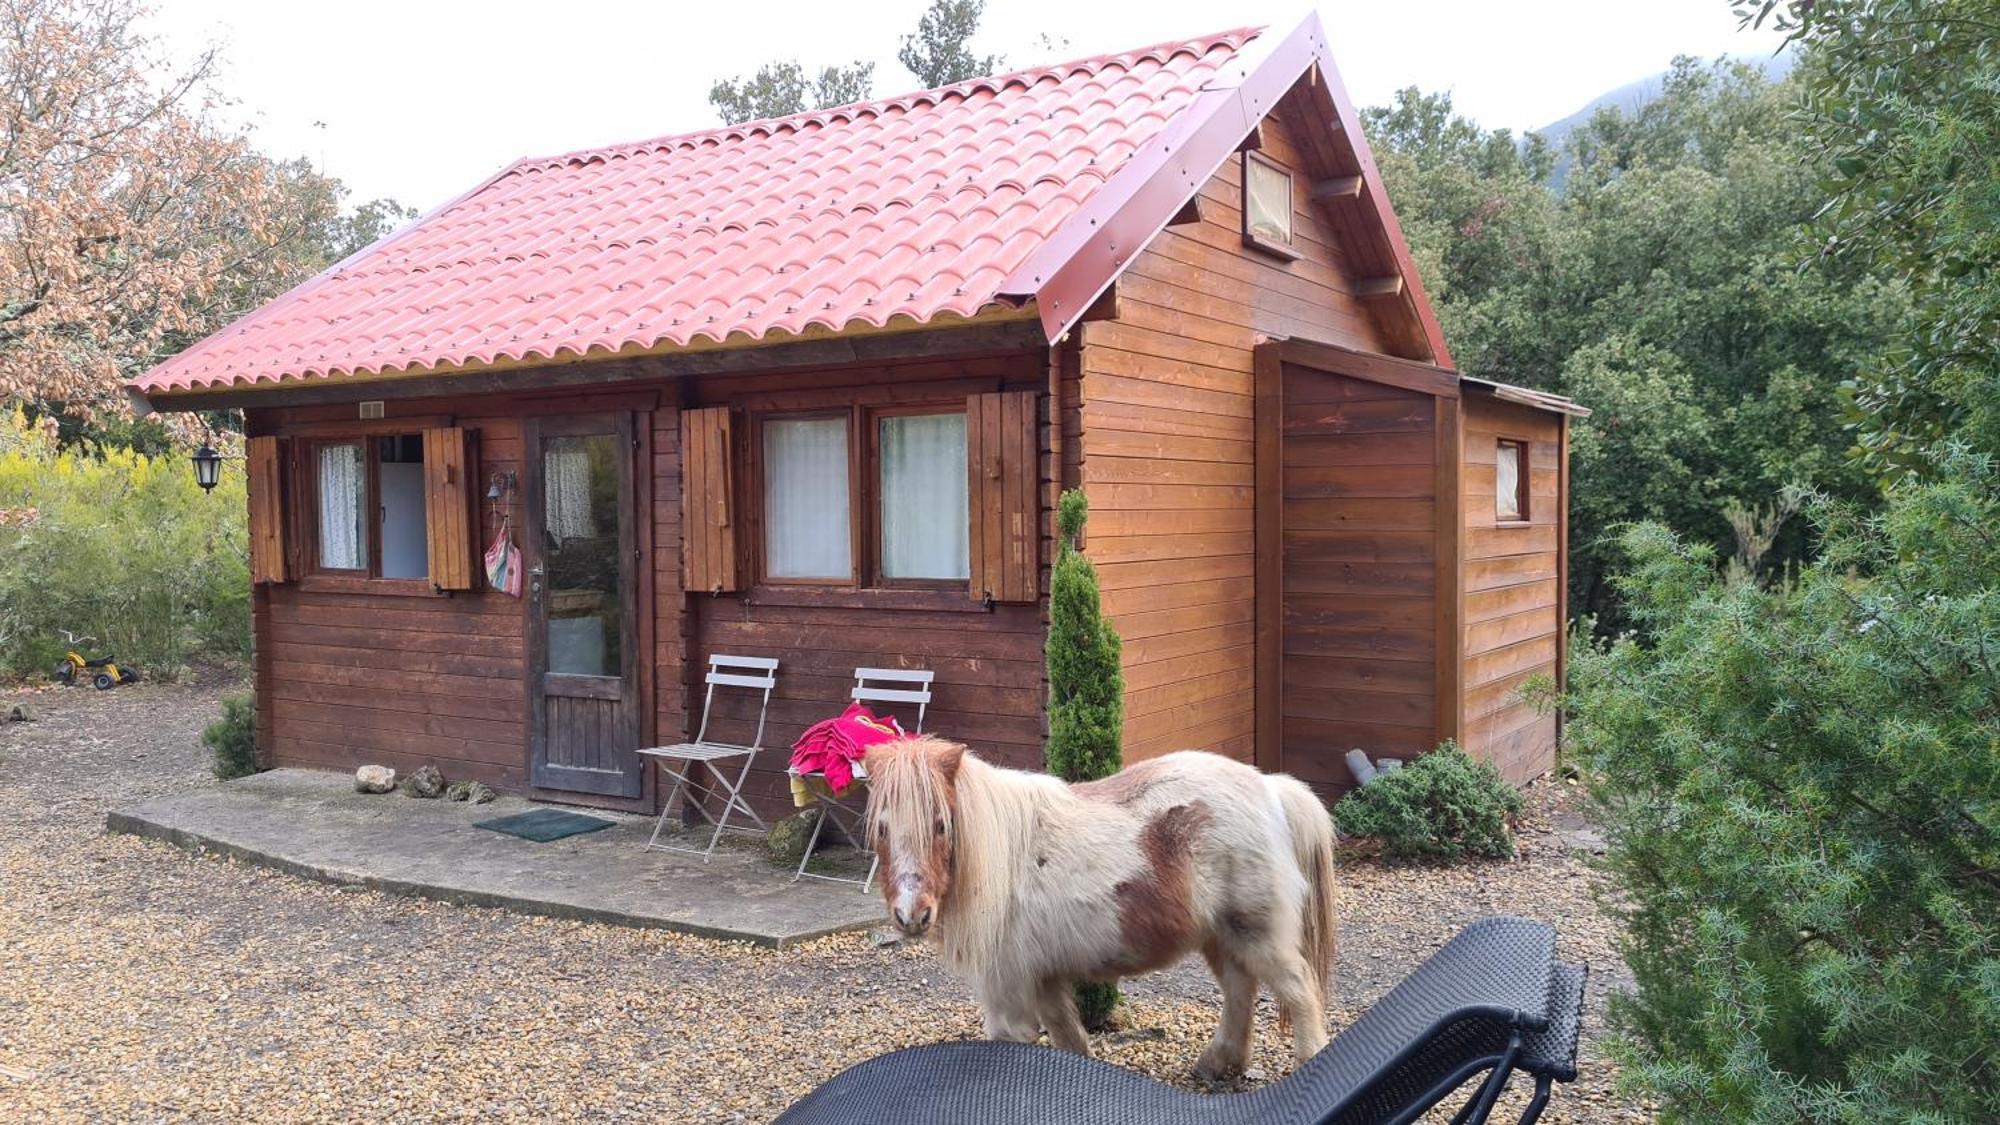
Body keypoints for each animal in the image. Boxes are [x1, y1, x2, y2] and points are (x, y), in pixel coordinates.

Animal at [868, 732, 1336, 1072]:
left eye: (940, 824)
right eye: (882, 828)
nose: (911, 915)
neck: (1004, 857)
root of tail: (1270, 789)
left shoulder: (1008, 992)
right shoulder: (1043, 980)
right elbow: (1069, 1039)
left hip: (1258, 934)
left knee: (1299, 991)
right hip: (1223, 936)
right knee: (1240, 990)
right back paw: (1220, 1064)